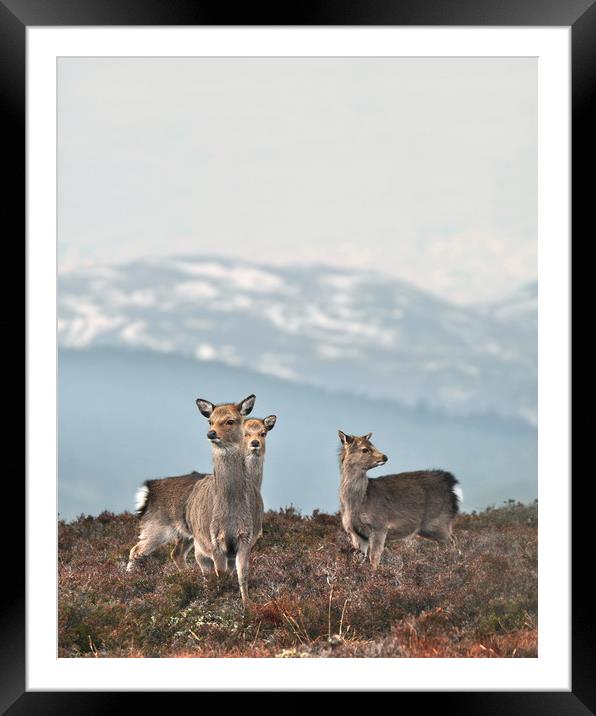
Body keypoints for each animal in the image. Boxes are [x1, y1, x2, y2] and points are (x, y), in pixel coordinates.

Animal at [338, 430, 464, 572]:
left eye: (373, 445)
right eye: (365, 449)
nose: (385, 457)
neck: (360, 501)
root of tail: (452, 485)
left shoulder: (379, 525)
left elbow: (374, 557)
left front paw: (374, 574)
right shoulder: (356, 533)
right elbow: (360, 559)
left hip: (439, 521)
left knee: (454, 542)